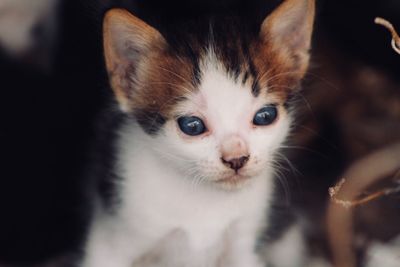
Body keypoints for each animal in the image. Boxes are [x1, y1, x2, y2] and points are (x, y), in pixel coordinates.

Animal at [80, 0, 312, 266]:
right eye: (192, 126)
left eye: (265, 116)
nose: (236, 159)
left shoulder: (244, 242)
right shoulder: (110, 242)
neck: (203, 200)